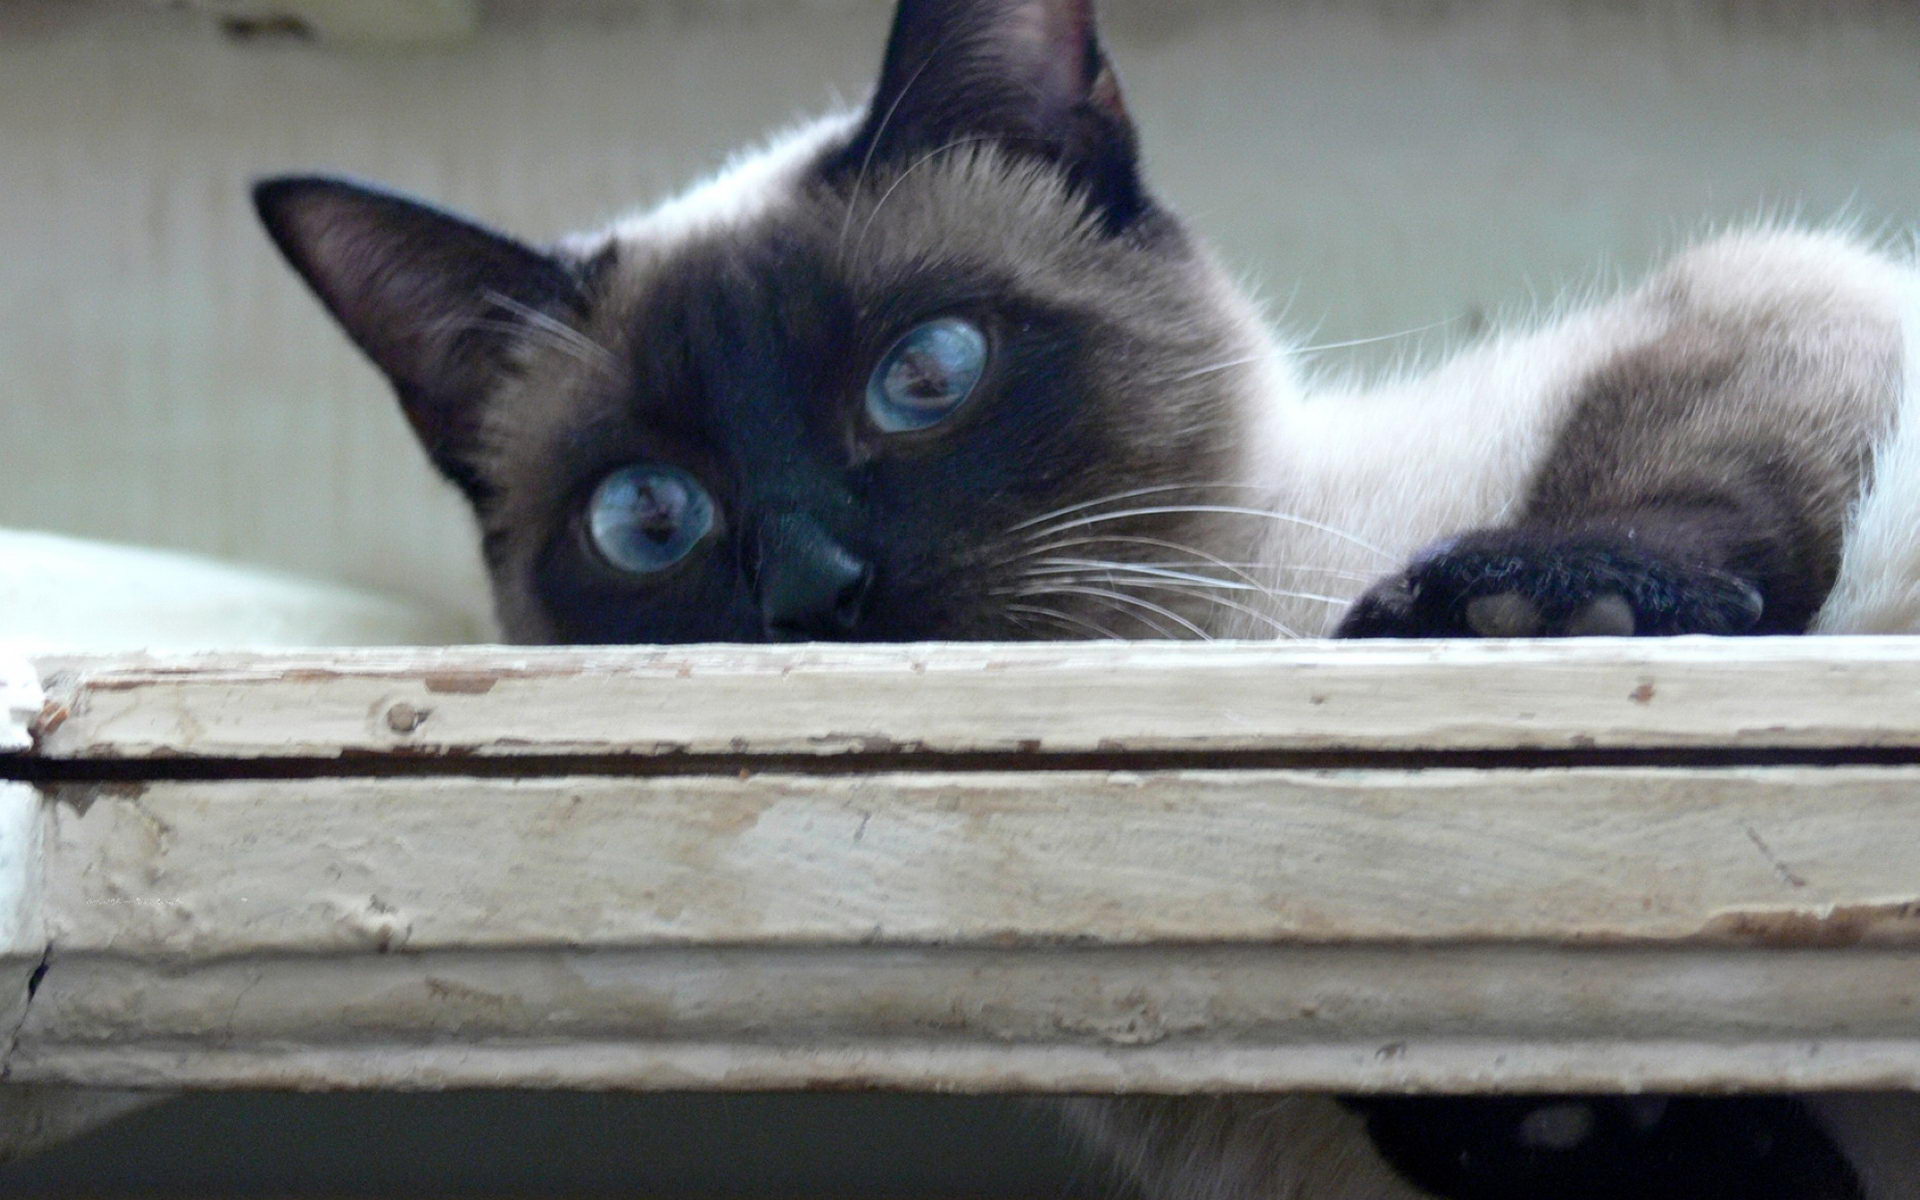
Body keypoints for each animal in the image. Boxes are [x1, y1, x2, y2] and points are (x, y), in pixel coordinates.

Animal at [251, 0, 1920, 1190]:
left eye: (926, 376)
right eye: (648, 517)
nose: (814, 588)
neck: (1232, 624)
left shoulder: (1785, 299)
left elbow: (1666, 464)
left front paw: (1533, 610)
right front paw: (1576, 1124)